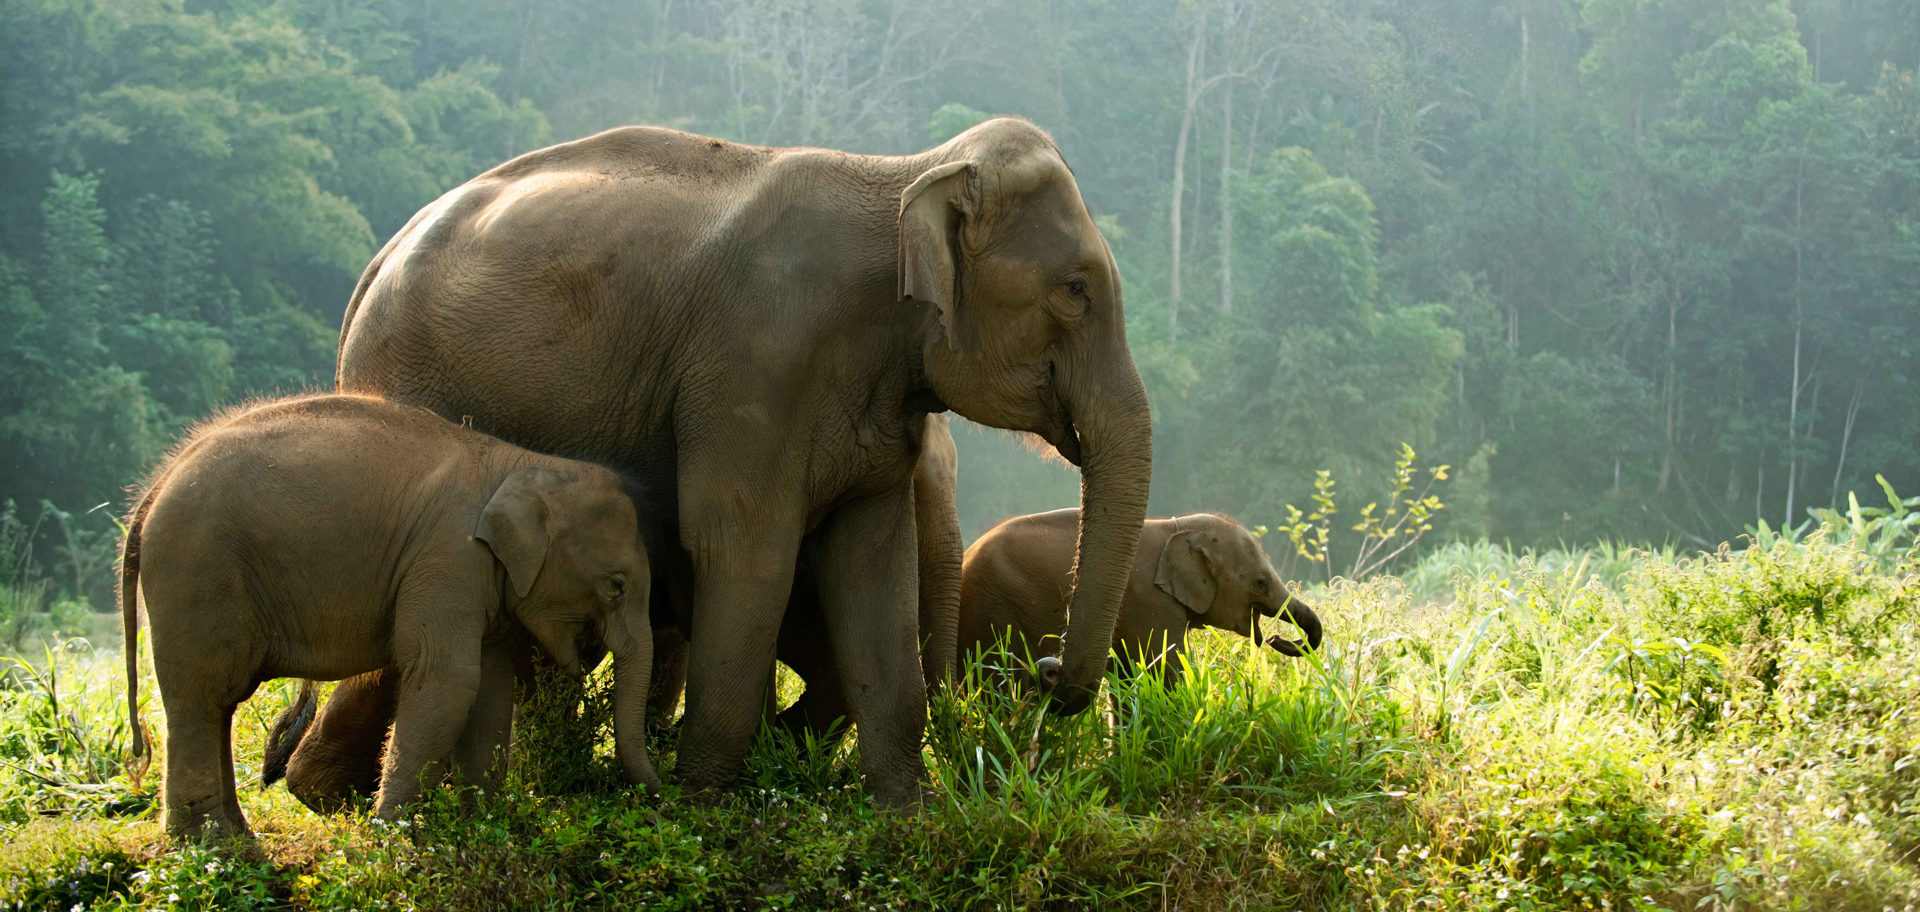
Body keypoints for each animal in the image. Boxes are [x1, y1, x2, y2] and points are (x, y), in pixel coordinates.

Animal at [119, 394, 659, 839]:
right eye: (616, 585)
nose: (659, 805)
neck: (524, 464)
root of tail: (153, 490)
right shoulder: (448, 557)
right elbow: (448, 678)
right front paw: (394, 837)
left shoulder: (478, 580)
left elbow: (490, 691)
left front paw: (482, 829)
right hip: (196, 572)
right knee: (204, 696)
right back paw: (217, 849)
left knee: (216, 704)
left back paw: (232, 842)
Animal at [321, 116, 1151, 805]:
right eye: (1076, 290)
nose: (1047, 673)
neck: (907, 173)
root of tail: (376, 262)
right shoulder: (757, 364)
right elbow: (742, 547)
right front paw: (707, 808)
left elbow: (872, 562)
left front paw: (904, 813)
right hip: (411, 384)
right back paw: (337, 796)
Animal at [958, 510, 1323, 691]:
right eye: (1261, 584)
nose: (1275, 637)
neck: (1176, 527)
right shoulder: (1148, 603)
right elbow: (1163, 671)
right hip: (994, 613)